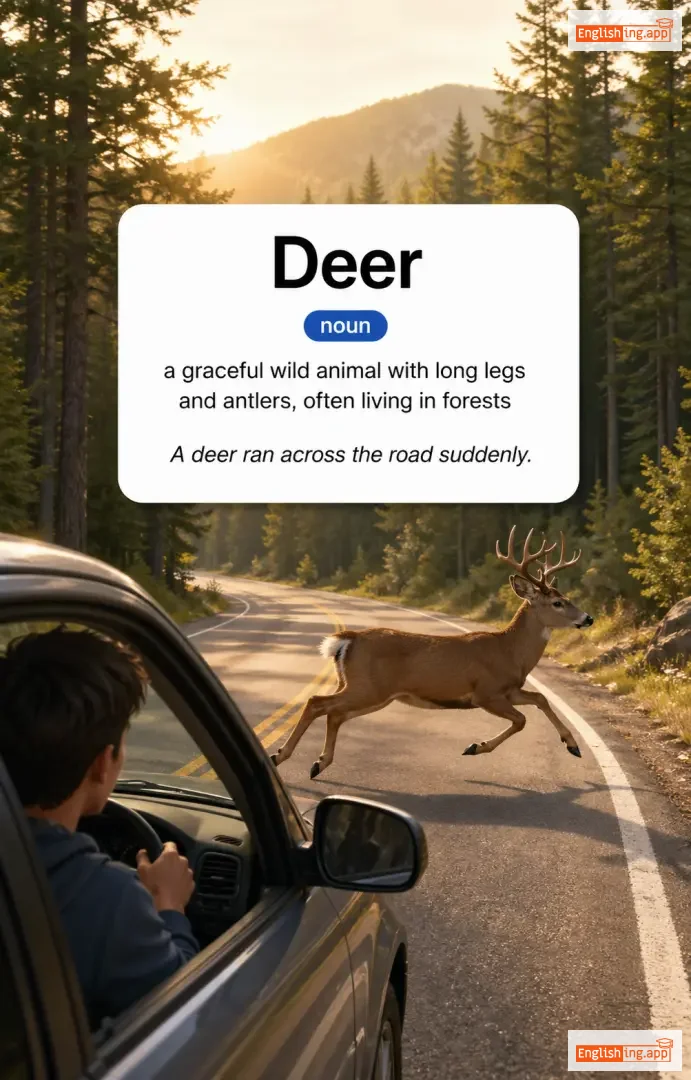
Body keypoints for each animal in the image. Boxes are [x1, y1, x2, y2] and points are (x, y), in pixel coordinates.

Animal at [270, 527, 594, 779]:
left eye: (567, 598)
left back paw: (317, 763)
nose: (588, 618)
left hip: (368, 691)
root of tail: (347, 639)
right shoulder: (486, 692)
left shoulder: (510, 689)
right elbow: (522, 720)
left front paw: (573, 745)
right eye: (557, 603)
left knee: (333, 713)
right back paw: (280, 756)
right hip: (367, 687)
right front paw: (475, 747)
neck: (510, 652)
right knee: (317, 702)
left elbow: (540, 699)